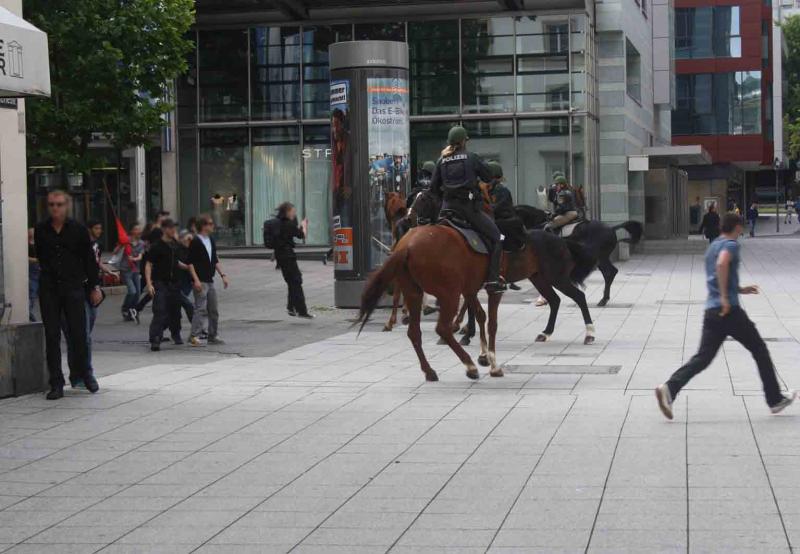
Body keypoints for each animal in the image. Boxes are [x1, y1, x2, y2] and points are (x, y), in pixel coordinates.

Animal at [516, 203, 648, 306]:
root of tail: (611, 228)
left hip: (600, 257)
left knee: (609, 273)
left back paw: (603, 300)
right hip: (600, 258)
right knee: (610, 272)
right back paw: (604, 299)